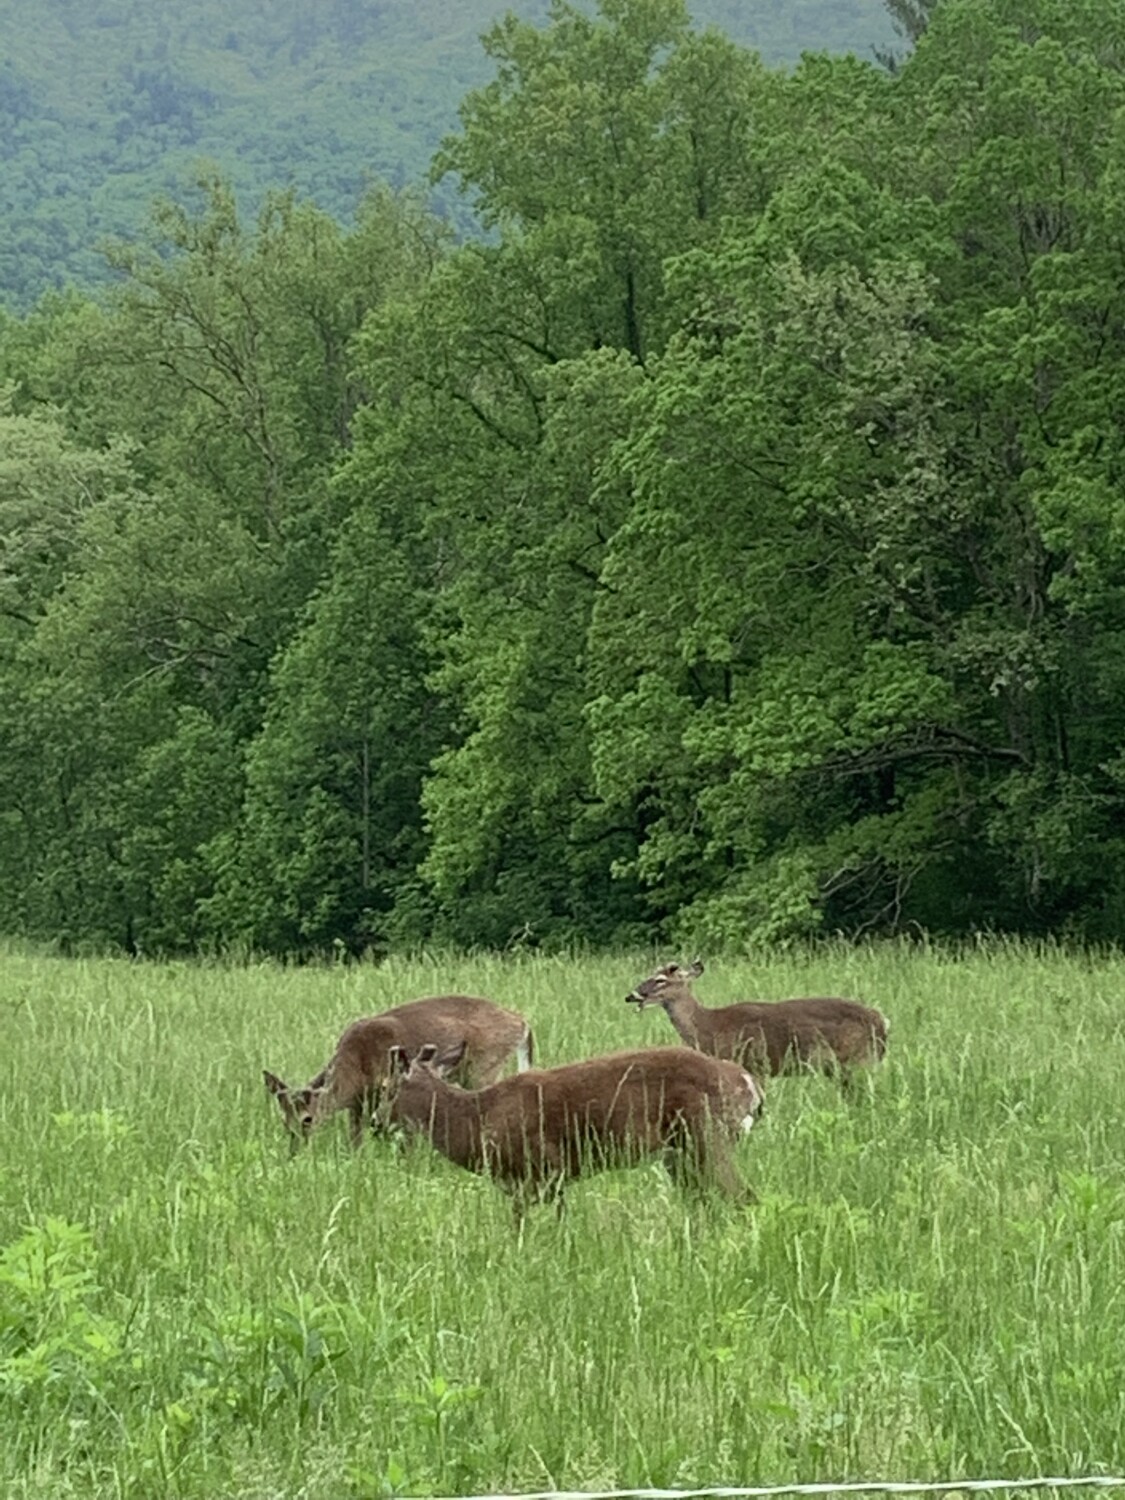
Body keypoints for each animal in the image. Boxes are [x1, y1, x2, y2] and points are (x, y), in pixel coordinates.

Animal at [263, 993, 533, 1153]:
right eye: (283, 1119)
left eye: (307, 1118)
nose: (294, 1150)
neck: (358, 1065)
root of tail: (522, 1023)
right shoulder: (359, 1102)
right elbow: (356, 1137)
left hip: (485, 1066)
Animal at [376, 1041, 764, 1222]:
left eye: (386, 1088)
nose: (377, 1122)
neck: (476, 1121)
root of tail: (749, 1084)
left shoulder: (542, 1169)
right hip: (680, 1153)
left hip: (706, 1135)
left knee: (743, 1196)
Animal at [626, 961, 887, 1092]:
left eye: (661, 980)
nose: (631, 995)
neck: (710, 1027)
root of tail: (881, 1021)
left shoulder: (754, 1063)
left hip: (861, 1060)